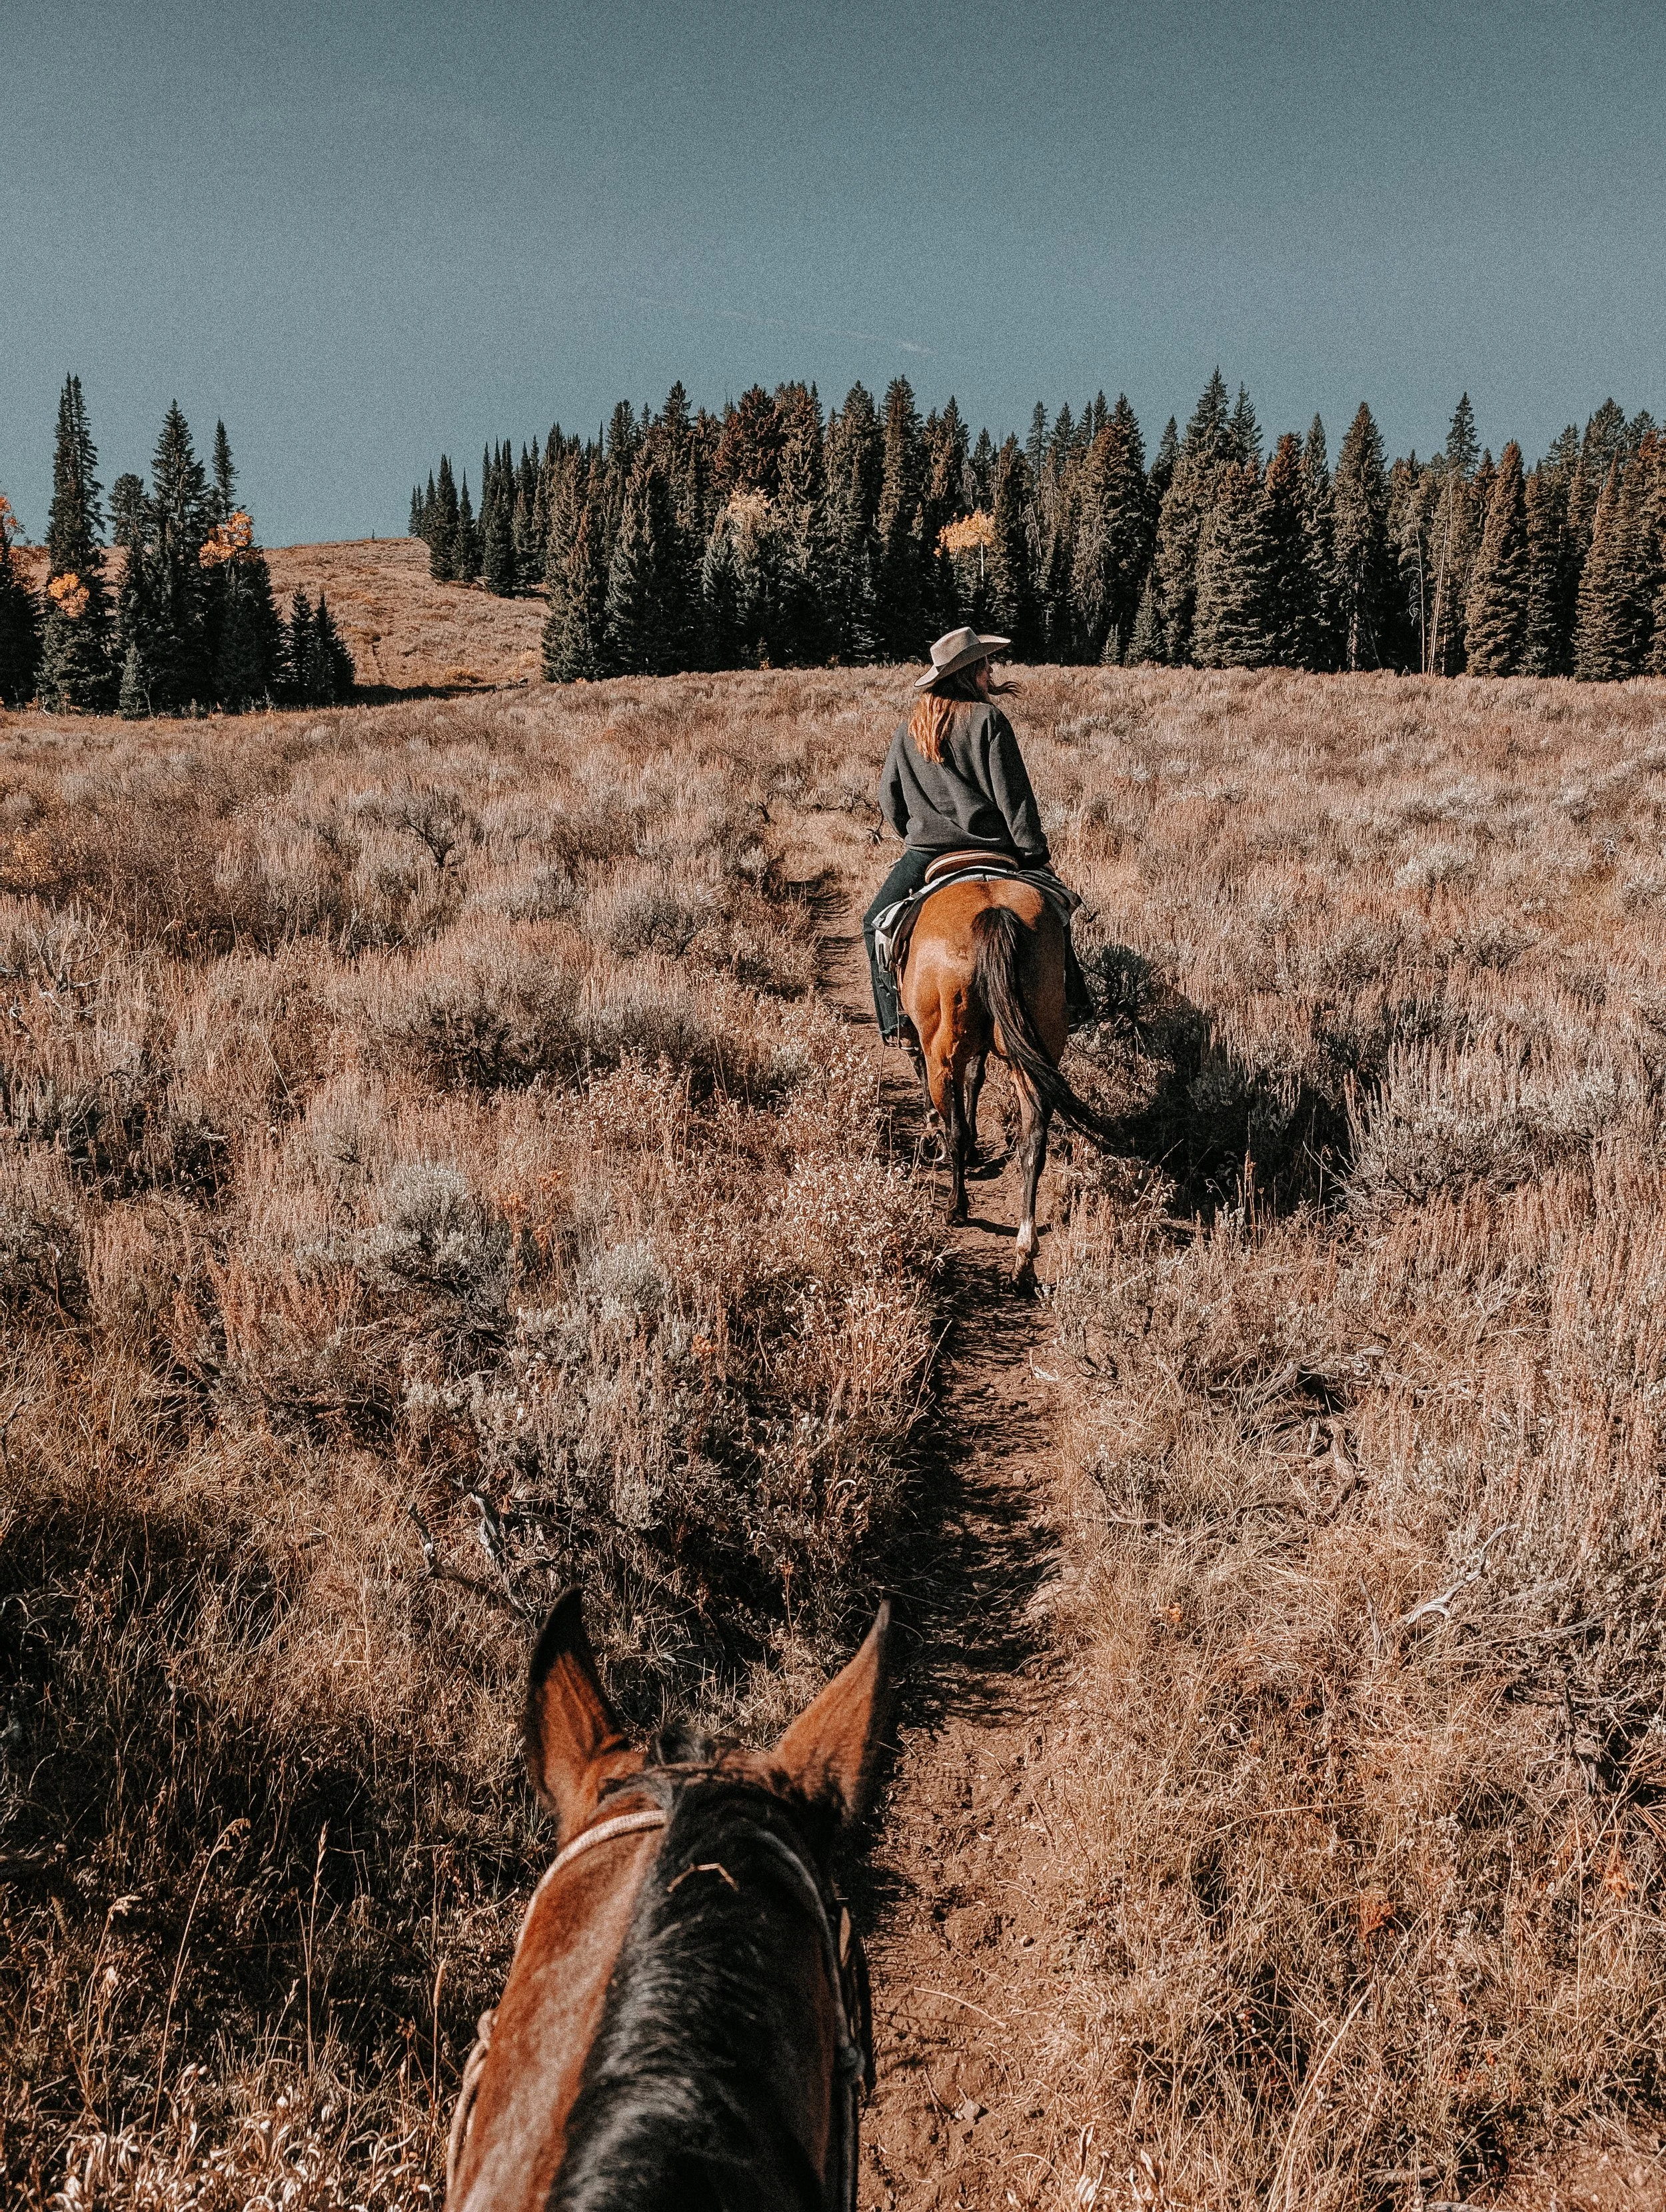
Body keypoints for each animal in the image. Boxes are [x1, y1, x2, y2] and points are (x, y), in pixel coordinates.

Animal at [899, 874, 1105, 1280]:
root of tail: (993, 913)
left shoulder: (935, 1049)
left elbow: (955, 1106)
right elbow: (976, 1080)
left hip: (943, 1050)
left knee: (954, 1128)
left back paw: (956, 1206)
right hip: (1033, 1052)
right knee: (1034, 1143)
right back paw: (1024, 1253)